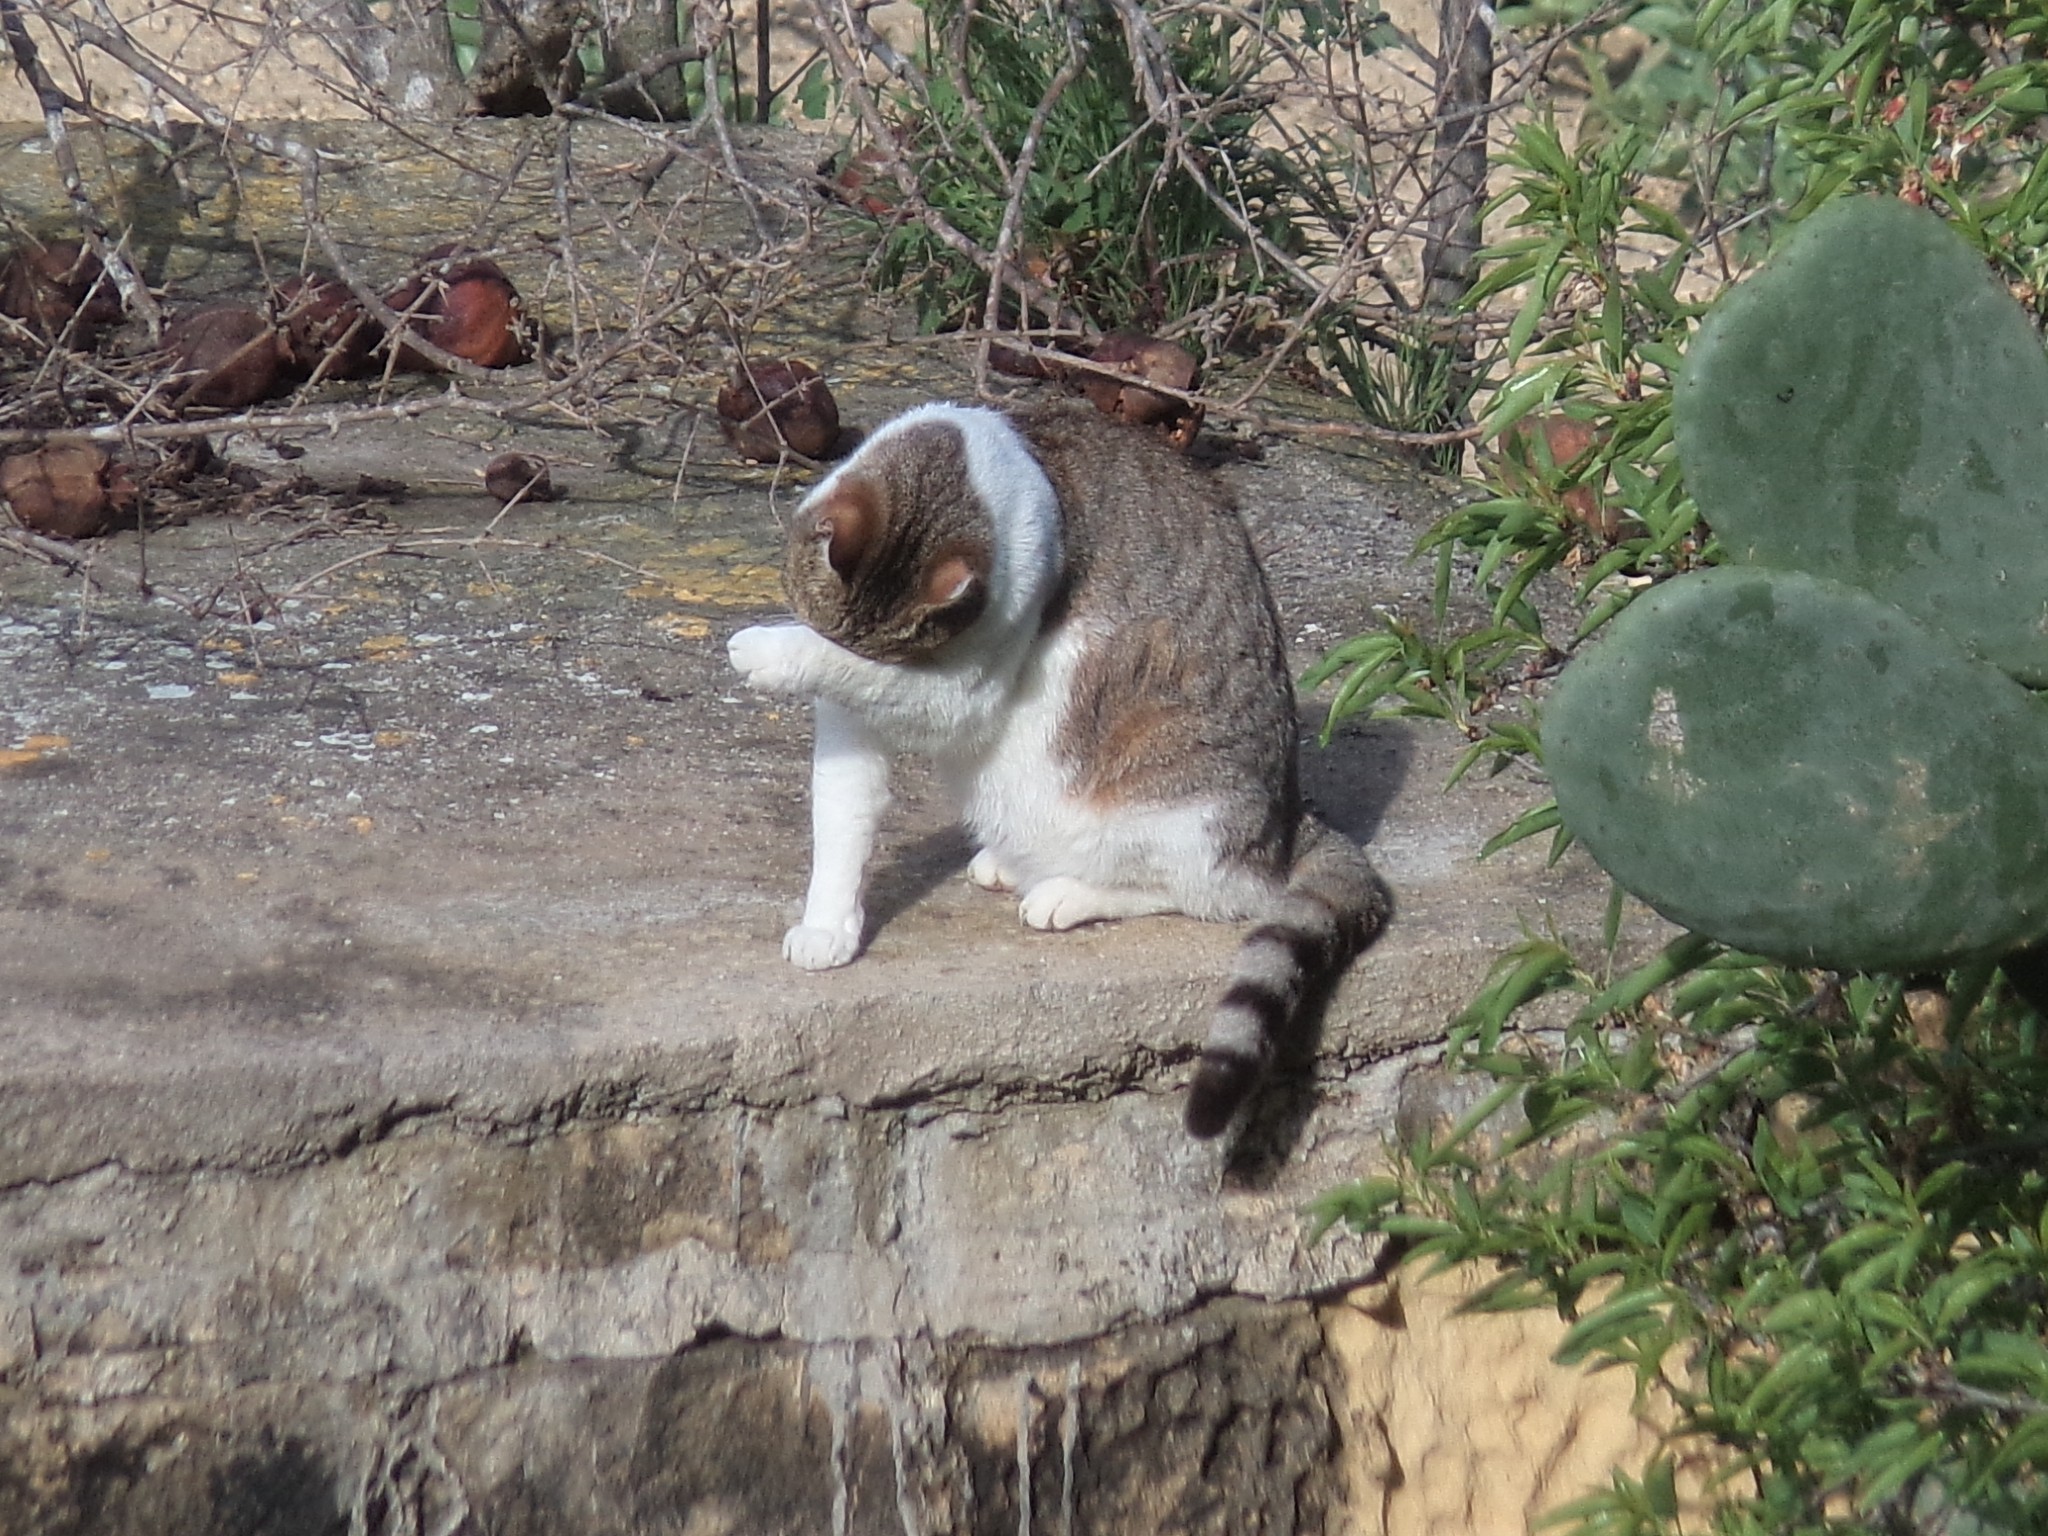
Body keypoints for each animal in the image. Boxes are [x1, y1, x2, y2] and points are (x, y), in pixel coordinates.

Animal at [726, 399, 1390, 1138]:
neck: (981, 462)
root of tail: (1289, 825)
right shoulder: (855, 713)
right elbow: (844, 810)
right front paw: (830, 925)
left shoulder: (960, 691)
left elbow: (883, 685)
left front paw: (768, 650)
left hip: (1174, 806)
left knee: (1209, 892)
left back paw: (1068, 893)